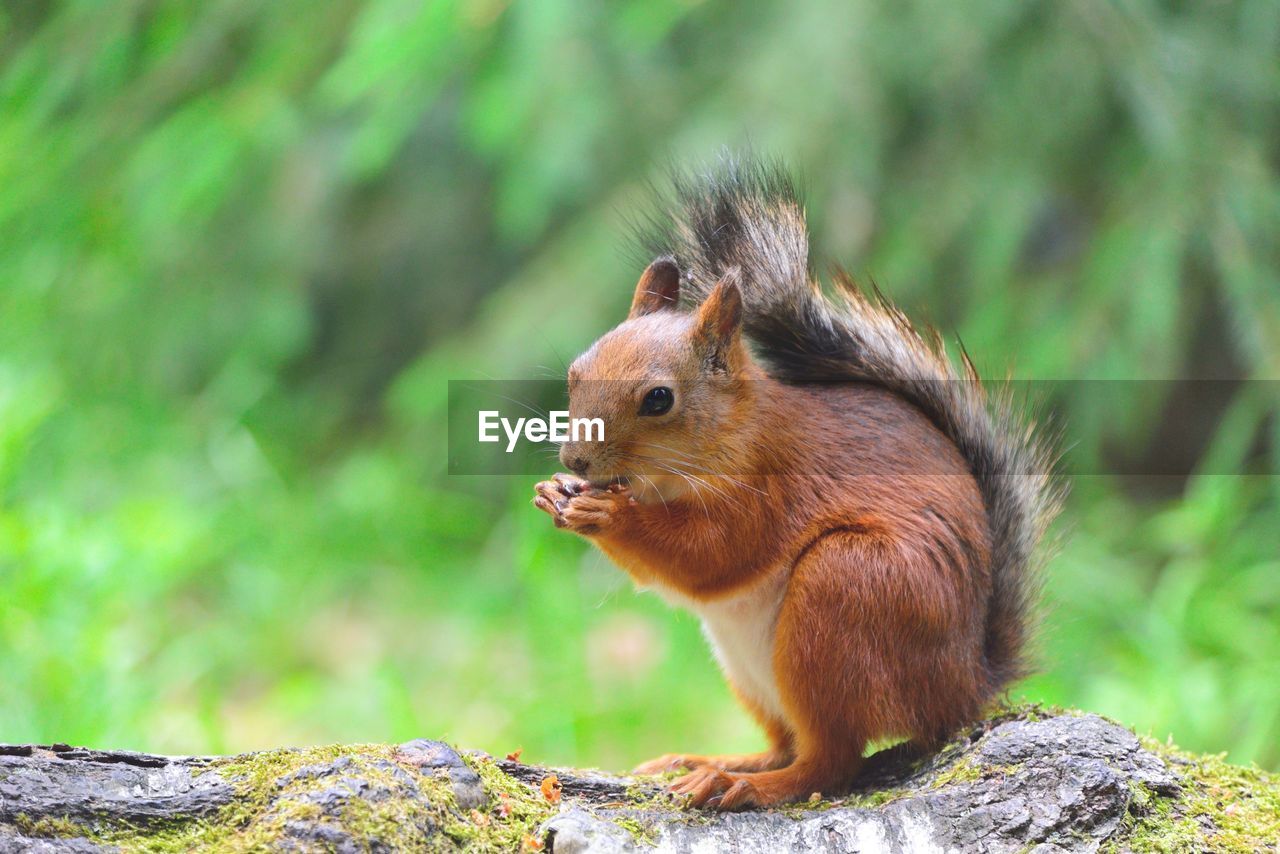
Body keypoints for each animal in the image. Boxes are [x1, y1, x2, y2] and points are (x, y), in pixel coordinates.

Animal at [529, 156, 1059, 814]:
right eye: (576, 372)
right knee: (787, 743)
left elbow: (710, 555)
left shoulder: (771, 485)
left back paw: (744, 785)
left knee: (828, 761)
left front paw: (611, 516)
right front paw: (555, 493)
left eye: (658, 399)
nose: (575, 461)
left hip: (846, 593)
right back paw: (713, 762)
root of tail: (968, 685)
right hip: (749, 668)